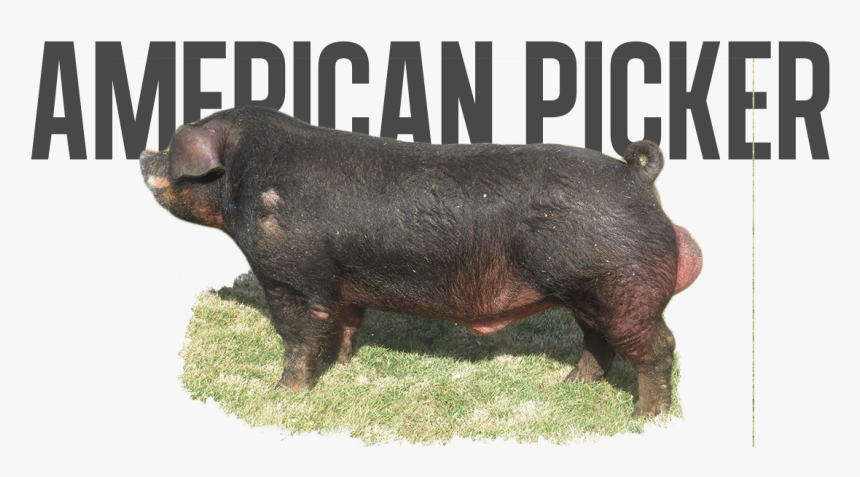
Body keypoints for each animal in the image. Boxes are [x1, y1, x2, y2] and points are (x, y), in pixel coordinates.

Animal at [140, 106, 702, 417]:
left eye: (171, 147)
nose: (143, 155)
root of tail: (636, 176)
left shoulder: (291, 276)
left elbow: (298, 335)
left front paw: (284, 394)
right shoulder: (342, 280)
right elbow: (345, 324)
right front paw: (342, 366)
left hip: (622, 286)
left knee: (658, 347)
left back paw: (644, 418)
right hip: (589, 292)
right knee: (598, 341)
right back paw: (568, 385)